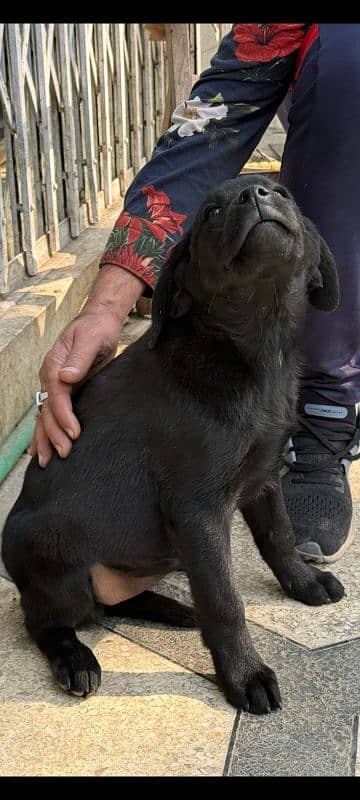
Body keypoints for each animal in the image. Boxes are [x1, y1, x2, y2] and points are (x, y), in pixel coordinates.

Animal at [1, 175, 344, 712]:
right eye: (211, 212)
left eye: (284, 194)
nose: (257, 194)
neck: (252, 351)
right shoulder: (199, 509)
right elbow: (225, 600)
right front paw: (245, 676)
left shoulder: (264, 479)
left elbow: (280, 538)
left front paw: (304, 585)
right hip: (51, 552)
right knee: (48, 619)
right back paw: (75, 660)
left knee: (112, 603)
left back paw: (174, 608)